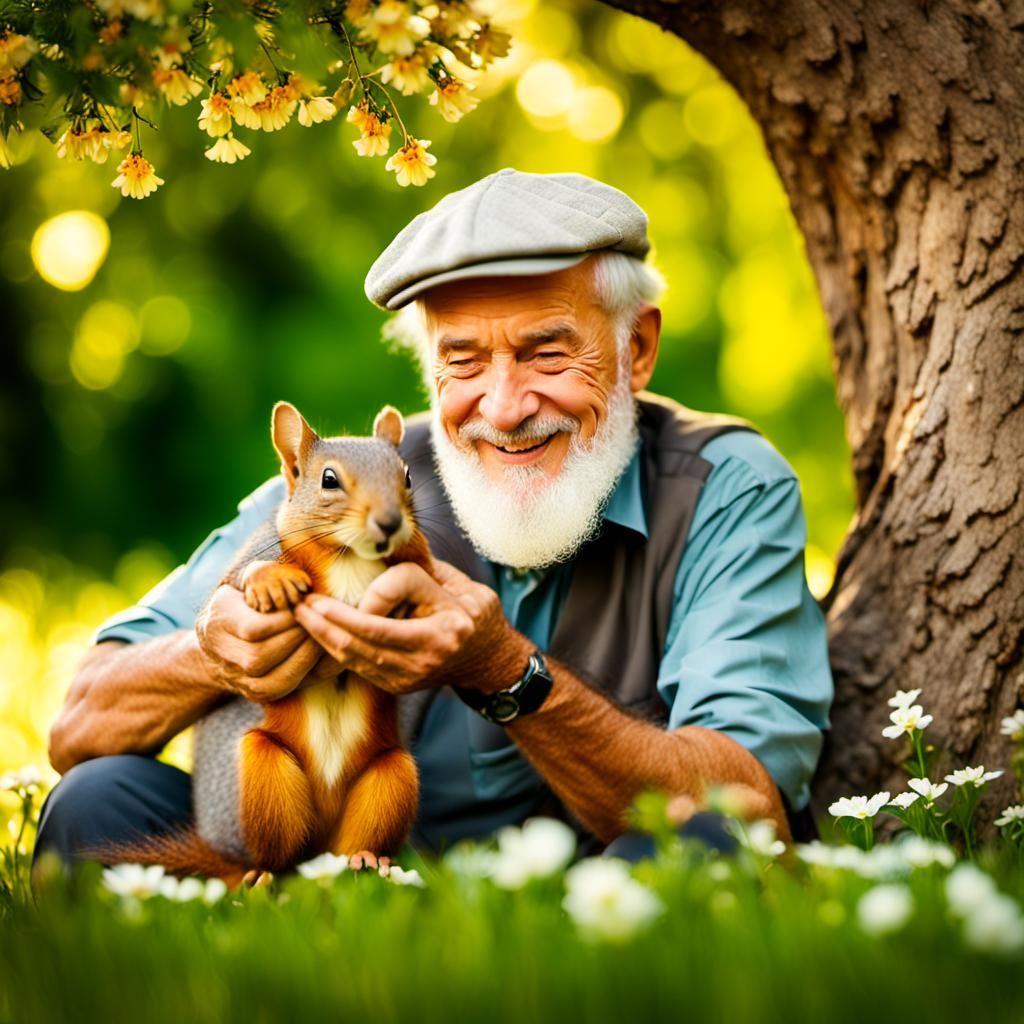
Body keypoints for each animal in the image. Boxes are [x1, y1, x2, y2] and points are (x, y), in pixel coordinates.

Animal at [93, 401, 432, 886]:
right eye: (329, 479)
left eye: (405, 476)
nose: (390, 523)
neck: (349, 559)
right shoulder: (250, 559)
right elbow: (239, 578)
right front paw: (271, 583)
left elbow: (424, 568)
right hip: (263, 769)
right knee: (275, 857)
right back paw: (263, 877)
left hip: (394, 772)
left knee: (356, 843)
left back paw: (368, 862)